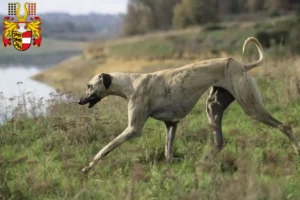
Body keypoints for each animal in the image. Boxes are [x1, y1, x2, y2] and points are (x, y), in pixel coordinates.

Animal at [78, 37, 300, 173]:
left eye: (89, 86)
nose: (79, 101)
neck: (131, 83)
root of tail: (242, 65)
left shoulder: (133, 129)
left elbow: (105, 148)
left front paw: (87, 167)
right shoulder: (171, 124)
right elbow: (168, 154)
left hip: (251, 107)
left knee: (285, 126)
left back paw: (296, 150)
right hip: (213, 107)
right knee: (219, 142)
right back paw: (203, 163)